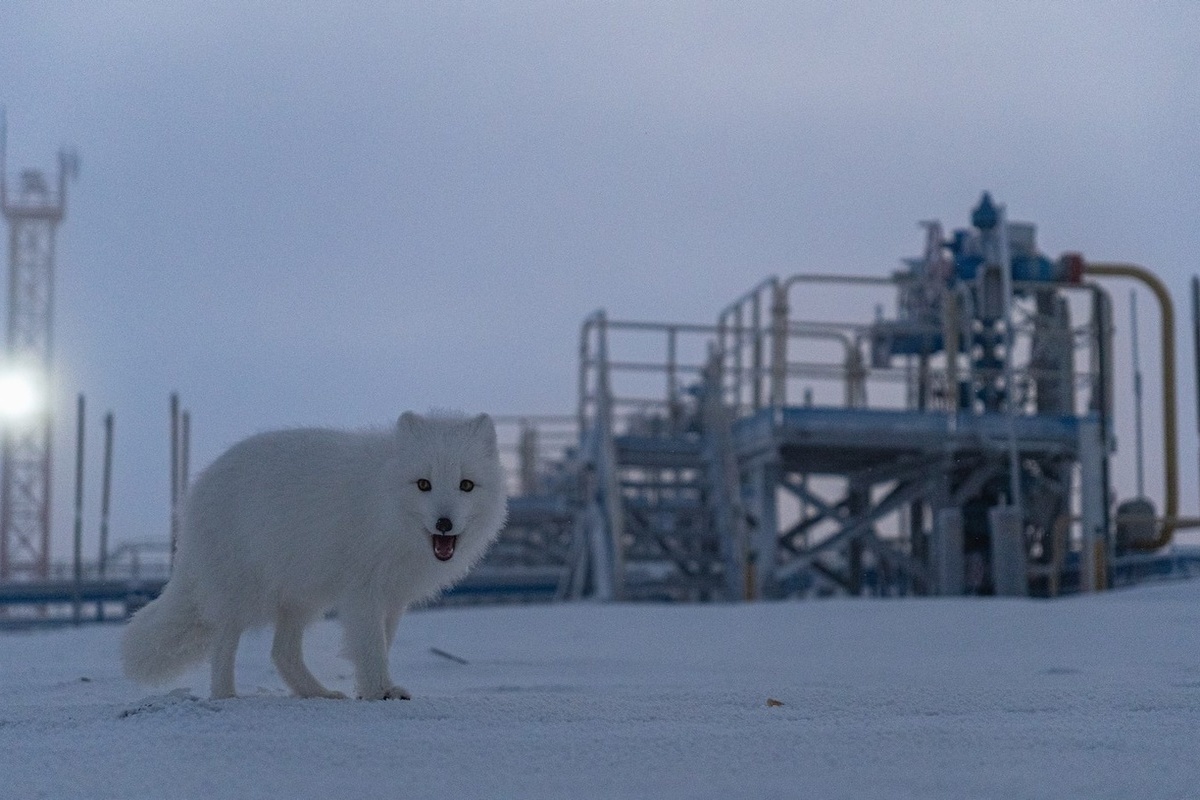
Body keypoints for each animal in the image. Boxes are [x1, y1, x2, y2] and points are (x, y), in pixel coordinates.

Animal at [124, 412, 508, 700]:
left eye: (466, 485)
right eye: (424, 484)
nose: (444, 523)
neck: (387, 508)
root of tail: (195, 492)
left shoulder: (392, 596)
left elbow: (382, 642)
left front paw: (369, 690)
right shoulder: (363, 592)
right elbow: (371, 645)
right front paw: (378, 691)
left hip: (301, 599)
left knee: (281, 653)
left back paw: (318, 694)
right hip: (243, 593)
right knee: (223, 645)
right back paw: (226, 695)